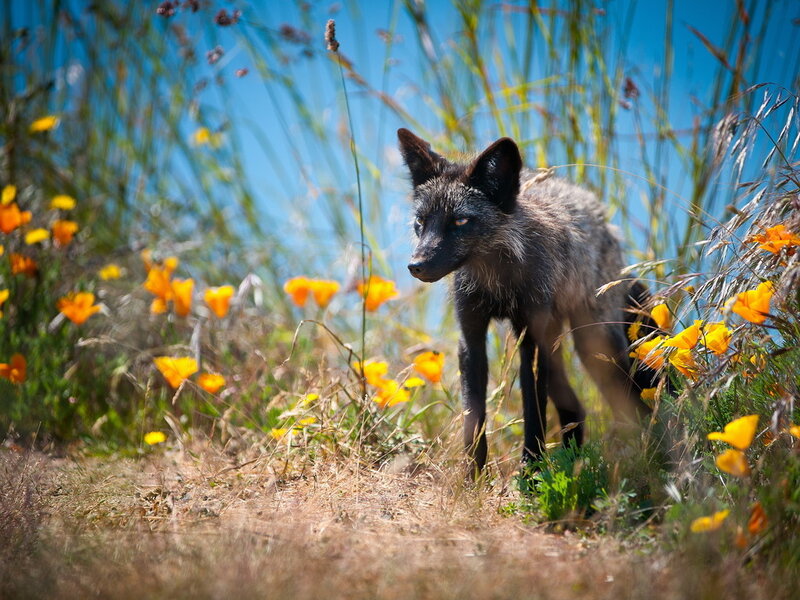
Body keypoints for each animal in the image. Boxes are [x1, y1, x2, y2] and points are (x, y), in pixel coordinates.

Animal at [398, 128, 658, 474]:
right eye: (421, 221)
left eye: (460, 221)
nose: (416, 266)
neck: (498, 284)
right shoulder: (471, 340)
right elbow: (473, 420)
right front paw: (472, 479)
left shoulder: (531, 343)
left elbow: (534, 414)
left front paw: (531, 474)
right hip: (561, 347)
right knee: (576, 410)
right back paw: (574, 462)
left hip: (594, 345)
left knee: (634, 403)